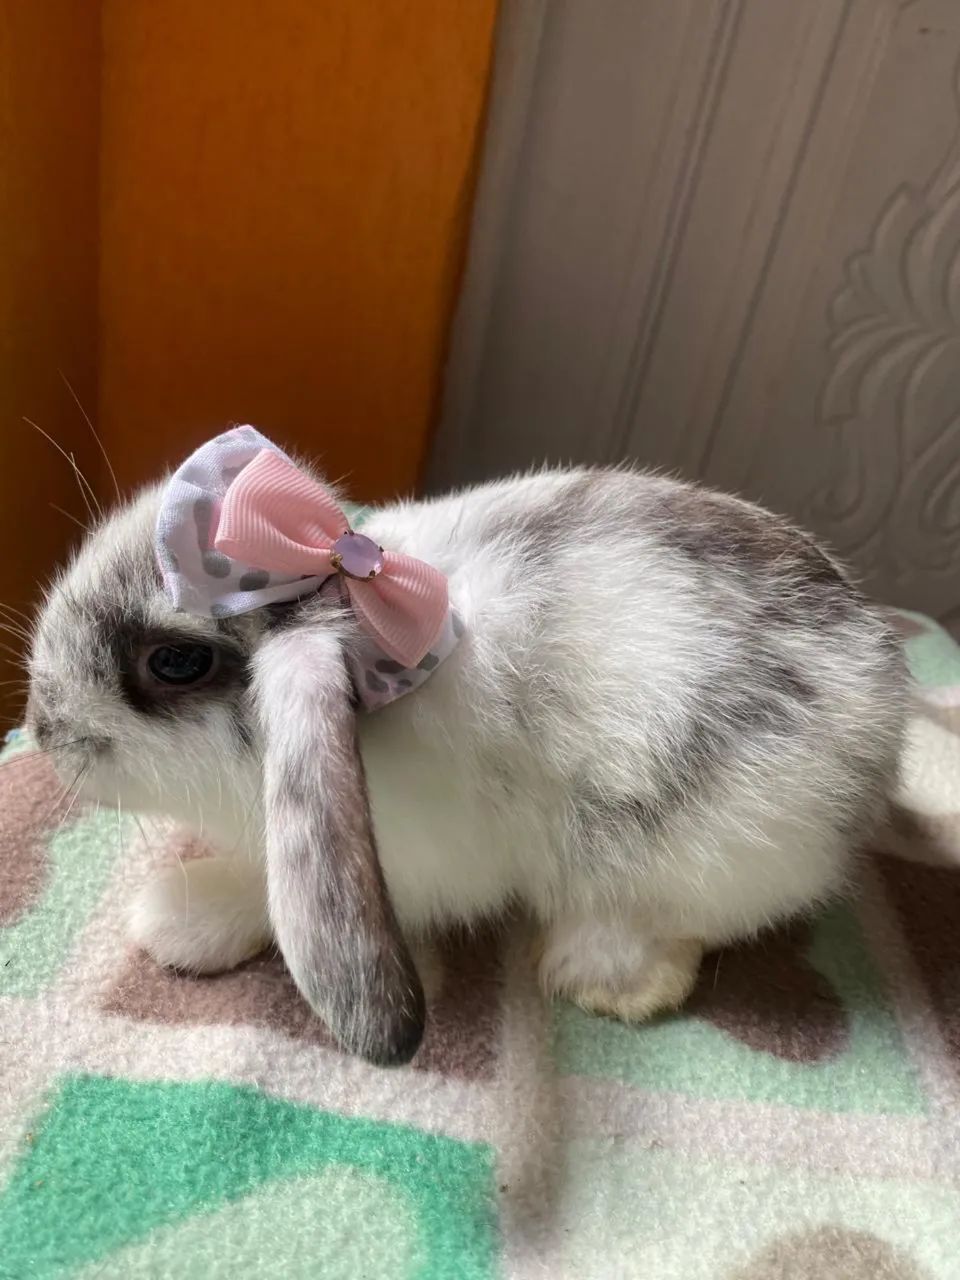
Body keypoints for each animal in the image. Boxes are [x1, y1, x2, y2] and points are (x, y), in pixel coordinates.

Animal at [25, 427, 907, 1066]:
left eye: (174, 662)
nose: (42, 729)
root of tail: (882, 692)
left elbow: (270, 897)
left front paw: (174, 919)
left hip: (710, 854)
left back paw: (601, 977)